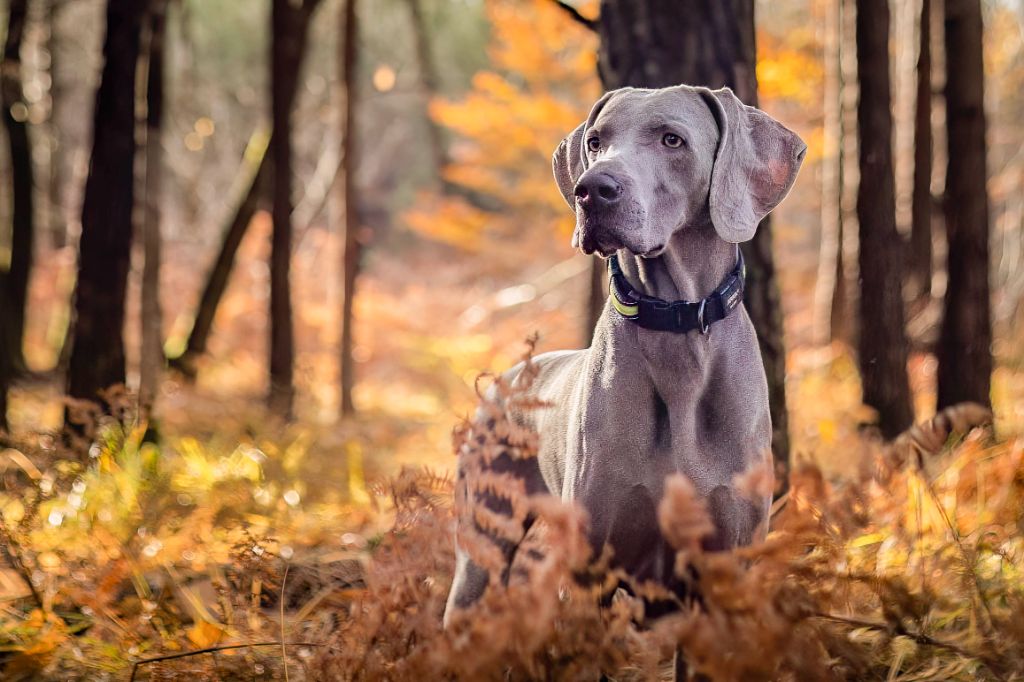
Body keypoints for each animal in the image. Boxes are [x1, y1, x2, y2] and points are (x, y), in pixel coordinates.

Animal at [448, 86, 806, 626]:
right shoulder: (590, 570)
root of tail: (507, 380)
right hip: (483, 542)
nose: (591, 189)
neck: (676, 327)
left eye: (672, 139)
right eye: (595, 142)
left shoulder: (727, 565)